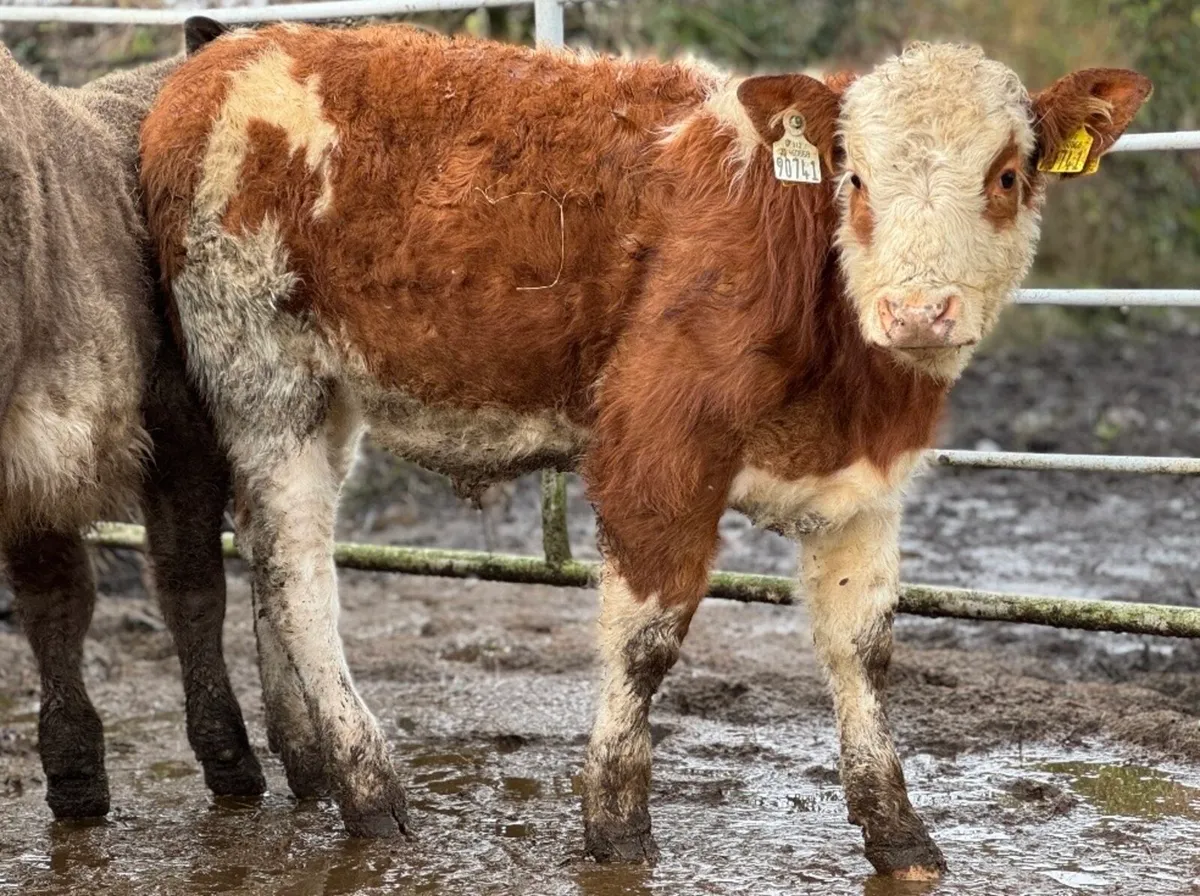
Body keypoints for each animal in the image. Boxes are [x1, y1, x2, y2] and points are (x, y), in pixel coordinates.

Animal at [0, 27, 264, 820]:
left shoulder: (34, 462)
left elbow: (55, 601)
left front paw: (75, 776)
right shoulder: (183, 424)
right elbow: (189, 582)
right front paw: (230, 758)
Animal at [139, 22, 1150, 878]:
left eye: (1008, 175)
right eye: (854, 177)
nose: (917, 310)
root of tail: (221, 54)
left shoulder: (864, 485)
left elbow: (864, 649)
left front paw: (899, 833)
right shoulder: (657, 453)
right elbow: (646, 642)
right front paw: (616, 825)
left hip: (329, 395)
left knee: (266, 552)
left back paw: (310, 765)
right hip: (265, 378)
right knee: (295, 572)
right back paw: (367, 786)